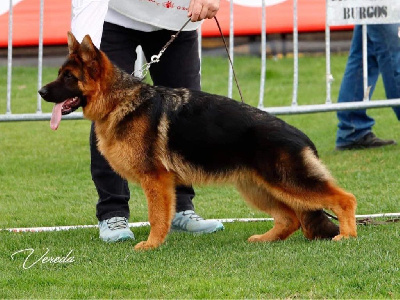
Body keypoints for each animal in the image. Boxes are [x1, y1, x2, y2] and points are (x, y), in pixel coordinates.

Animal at [38, 31, 356, 250]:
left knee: (345, 199)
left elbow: (157, 216)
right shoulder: (162, 183)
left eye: (69, 77)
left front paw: (152, 244)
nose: (40, 92)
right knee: (290, 218)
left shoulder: (156, 181)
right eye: (60, 74)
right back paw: (266, 239)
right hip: (258, 187)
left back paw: (348, 236)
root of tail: (300, 136)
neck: (120, 100)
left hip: (288, 183)